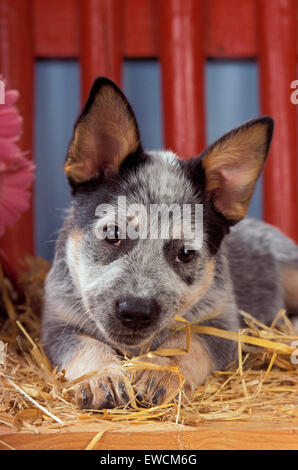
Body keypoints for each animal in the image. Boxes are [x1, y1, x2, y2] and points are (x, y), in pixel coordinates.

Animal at [40, 76, 298, 408]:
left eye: (185, 253)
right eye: (112, 235)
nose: (135, 311)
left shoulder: (222, 326)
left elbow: (188, 343)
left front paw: (159, 373)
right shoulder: (57, 325)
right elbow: (88, 346)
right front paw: (103, 377)